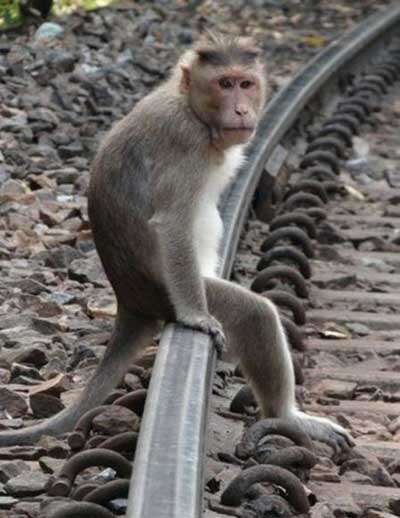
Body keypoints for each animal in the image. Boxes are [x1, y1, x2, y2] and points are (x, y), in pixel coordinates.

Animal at [0, 33, 354, 456]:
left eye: (245, 83)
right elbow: (171, 225)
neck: (191, 108)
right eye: (224, 84)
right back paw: (287, 416)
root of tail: (130, 302)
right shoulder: (186, 142)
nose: (241, 108)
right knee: (255, 314)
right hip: (164, 294)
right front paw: (196, 317)